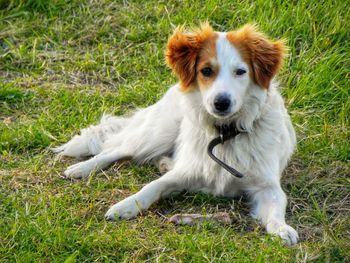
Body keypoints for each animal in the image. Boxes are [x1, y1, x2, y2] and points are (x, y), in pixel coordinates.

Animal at [53, 23, 300, 246]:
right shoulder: (184, 172)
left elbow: (277, 209)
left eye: (240, 72)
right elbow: (151, 187)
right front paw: (125, 206)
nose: (221, 102)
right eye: (206, 71)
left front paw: (282, 229)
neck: (223, 134)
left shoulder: (267, 186)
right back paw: (81, 168)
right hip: (159, 132)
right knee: (115, 150)